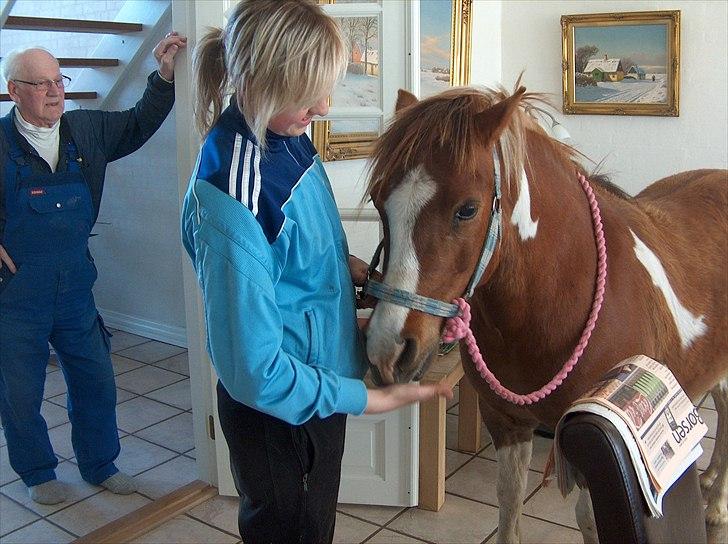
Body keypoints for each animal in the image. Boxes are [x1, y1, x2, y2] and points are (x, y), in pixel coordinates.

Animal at [362, 84, 728, 543]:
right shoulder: (506, 425)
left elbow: (588, 520)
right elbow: (509, 504)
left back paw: (717, 505)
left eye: (467, 209)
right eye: (380, 201)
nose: (388, 350)